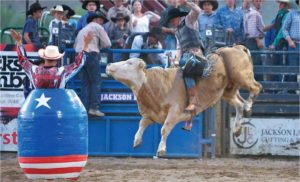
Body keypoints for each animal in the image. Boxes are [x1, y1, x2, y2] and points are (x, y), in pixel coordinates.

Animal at [106, 45, 262, 156]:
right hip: (227, 91)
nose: (109, 65)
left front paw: (161, 150)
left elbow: (164, 129)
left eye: (129, 63)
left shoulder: (174, 111)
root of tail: (236, 47)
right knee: (239, 105)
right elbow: (141, 123)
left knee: (256, 88)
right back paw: (237, 128)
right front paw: (137, 141)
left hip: (242, 76)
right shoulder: (153, 115)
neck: (155, 85)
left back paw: (249, 105)